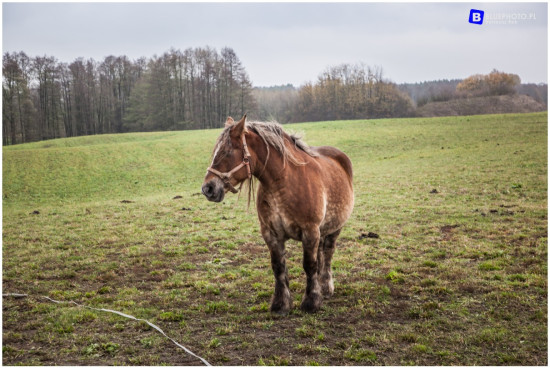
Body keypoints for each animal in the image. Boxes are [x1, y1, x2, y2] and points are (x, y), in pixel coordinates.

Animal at [202, 115, 354, 314]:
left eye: (227, 152)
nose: (208, 188)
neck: (284, 182)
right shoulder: (271, 234)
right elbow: (278, 267)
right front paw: (281, 304)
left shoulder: (310, 231)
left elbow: (309, 265)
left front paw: (311, 301)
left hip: (335, 228)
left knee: (327, 254)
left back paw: (326, 288)